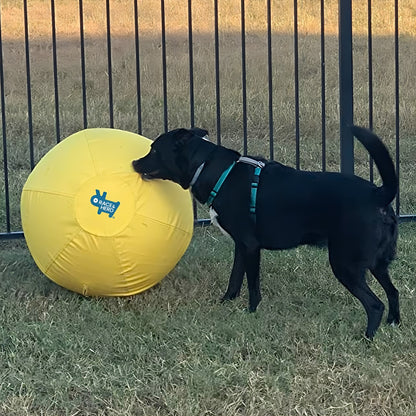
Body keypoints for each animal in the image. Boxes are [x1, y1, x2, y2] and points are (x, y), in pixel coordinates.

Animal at [134, 126, 400, 338]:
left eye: (154, 150)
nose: (134, 163)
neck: (213, 169)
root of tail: (378, 194)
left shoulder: (251, 246)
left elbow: (252, 285)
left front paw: (251, 312)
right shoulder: (241, 246)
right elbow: (234, 278)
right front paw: (226, 302)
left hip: (345, 265)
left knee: (375, 304)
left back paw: (367, 338)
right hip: (377, 264)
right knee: (393, 292)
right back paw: (394, 323)